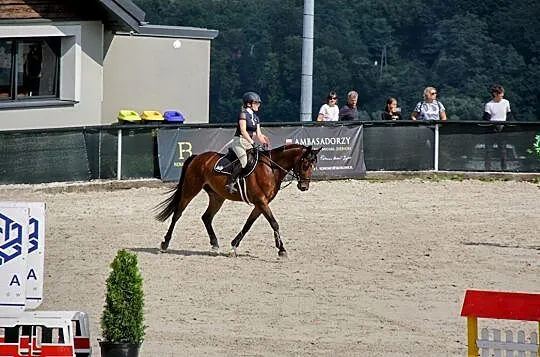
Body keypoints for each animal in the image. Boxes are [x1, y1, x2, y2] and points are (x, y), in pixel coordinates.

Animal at [154, 143, 320, 256]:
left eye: (314, 165)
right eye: (305, 164)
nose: (304, 186)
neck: (270, 168)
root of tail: (197, 157)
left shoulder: (260, 203)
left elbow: (248, 224)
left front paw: (234, 245)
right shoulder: (261, 201)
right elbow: (274, 223)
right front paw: (282, 249)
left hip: (217, 196)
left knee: (206, 217)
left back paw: (215, 244)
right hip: (190, 190)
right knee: (177, 214)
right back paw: (165, 243)